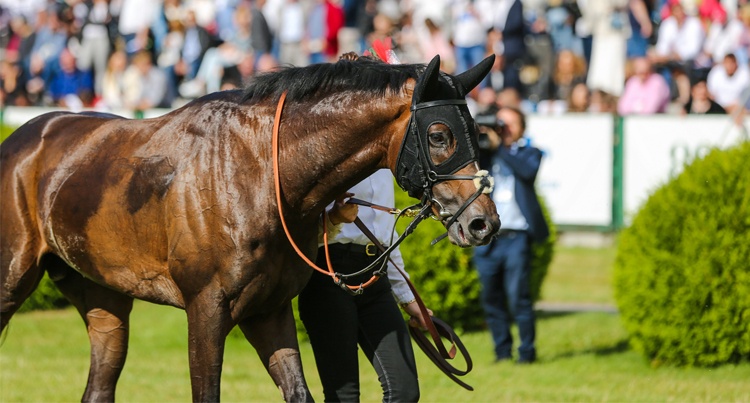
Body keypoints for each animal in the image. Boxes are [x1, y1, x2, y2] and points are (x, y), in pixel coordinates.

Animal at [2, 55, 502, 402]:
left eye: (478, 132)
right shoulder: (206, 309)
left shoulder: (269, 310)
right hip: (12, 279)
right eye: (439, 135)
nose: (484, 223)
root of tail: (21, 138)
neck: (259, 171)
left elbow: (299, 391)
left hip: (103, 298)